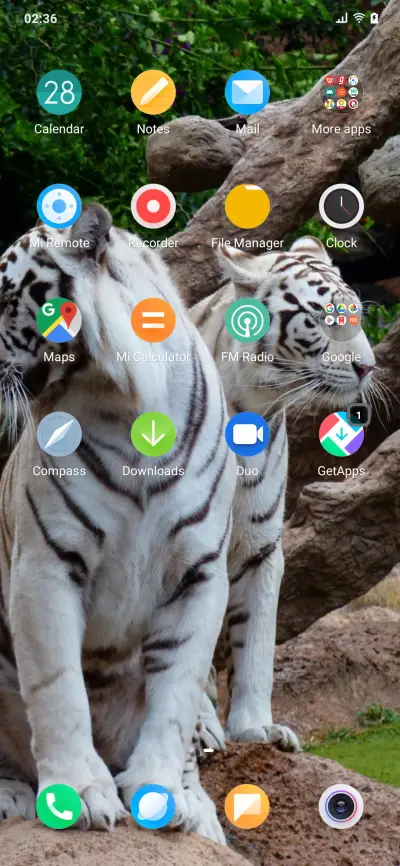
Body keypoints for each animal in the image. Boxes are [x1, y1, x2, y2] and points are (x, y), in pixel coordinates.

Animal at [0, 203, 236, 843]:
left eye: (1, 298)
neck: (123, 399)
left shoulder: (200, 573)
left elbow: (176, 696)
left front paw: (161, 794)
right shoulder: (46, 563)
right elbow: (59, 689)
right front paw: (78, 794)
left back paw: (199, 810)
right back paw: (12, 795)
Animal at [191, 236, 376, 751]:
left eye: (356, 314)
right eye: (319, 318)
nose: (369, 367)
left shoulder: (262, 547)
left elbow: (256, 645)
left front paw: (256, 728)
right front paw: (200, 728)